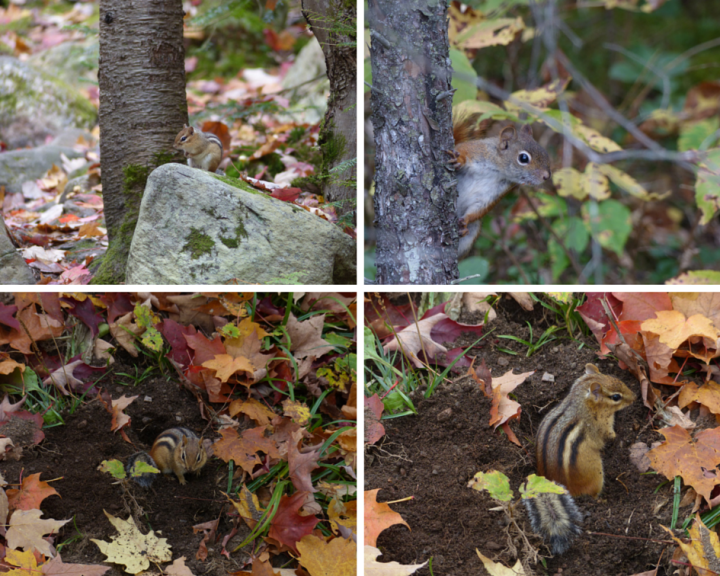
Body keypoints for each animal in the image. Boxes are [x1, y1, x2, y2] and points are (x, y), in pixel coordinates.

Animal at [447, 113, 552, 258]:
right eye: (523, 158)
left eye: (545, 153)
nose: (546, 176)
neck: (496, 170)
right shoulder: (474, 150)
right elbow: (461, 151)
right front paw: (458, 160)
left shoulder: (495, 192)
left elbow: (479, 207)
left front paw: (465, 221)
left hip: (473, 231)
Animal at [523, 363, 636, 554]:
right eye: (616, 397)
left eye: (618, 379)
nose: (635, 398)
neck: (582, 402)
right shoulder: (602, 427)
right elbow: (609, 436)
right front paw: (621, 438)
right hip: (596, 473)